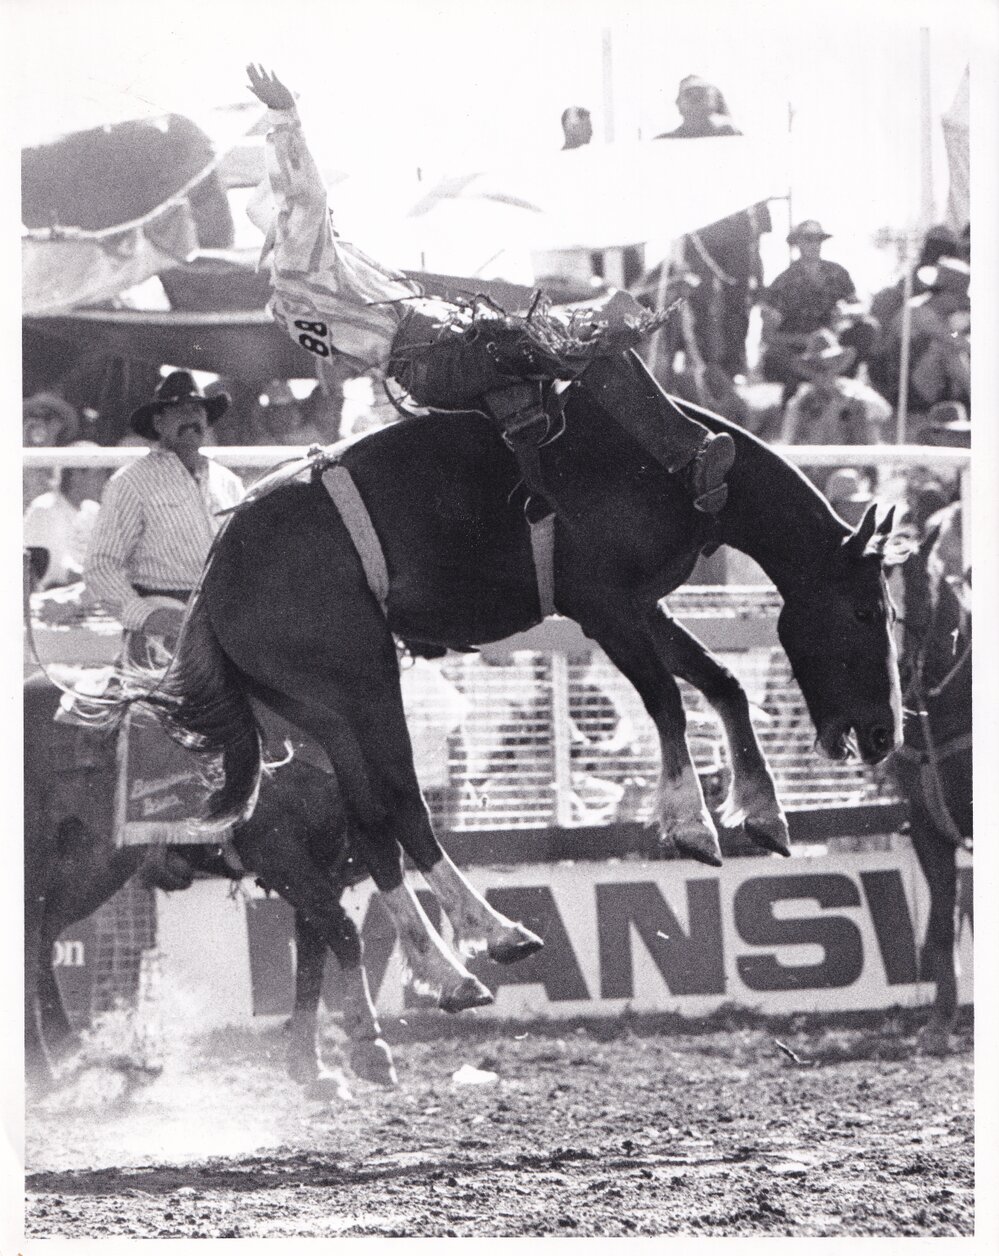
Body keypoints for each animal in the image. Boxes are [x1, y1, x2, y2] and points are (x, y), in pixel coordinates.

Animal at [24, 672, 397, 1097]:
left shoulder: (325, 868)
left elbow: (312, 957)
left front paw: (311, 1069)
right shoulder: (280, 854)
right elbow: (345, 934)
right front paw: (370, 1046)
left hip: (91, 871)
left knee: (42, 944)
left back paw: (65, 1049)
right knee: (28, 949)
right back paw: (40, 1069)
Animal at [102, 353, 903, 1015]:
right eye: (868, 610)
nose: (882, 733)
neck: (666, 461)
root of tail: (214, 576)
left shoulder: (645, 605)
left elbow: (723, 683)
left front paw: (763, 811)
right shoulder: (604, 606)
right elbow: (666, 698)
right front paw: (690, 823)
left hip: (319, 711)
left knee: (373, 825)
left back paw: (447, 970)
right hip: (363, 685)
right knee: (405, 807)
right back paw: (491, 931)